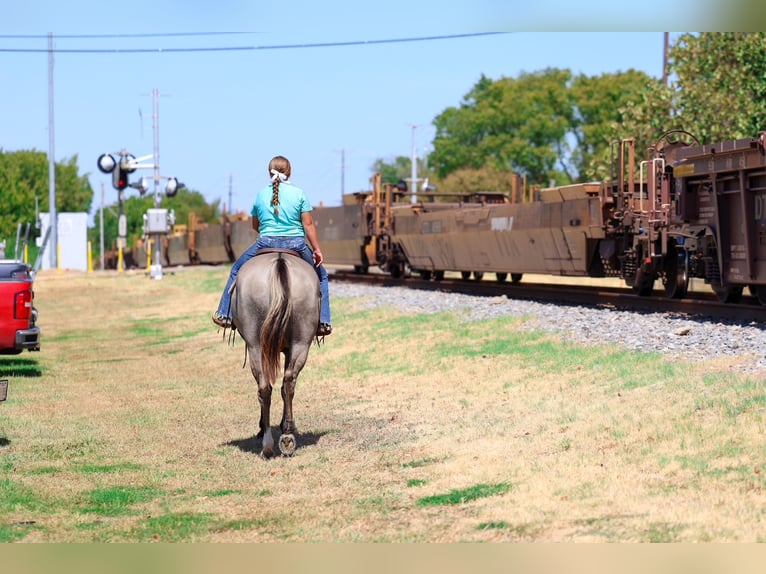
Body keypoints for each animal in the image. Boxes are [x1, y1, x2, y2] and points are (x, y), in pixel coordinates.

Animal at [230, 250, 321, 458]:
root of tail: (280, 261)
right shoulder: (288, 349)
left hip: (256, 345)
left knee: (264, 387)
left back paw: (267, 443)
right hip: (300, 342)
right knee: (288, 382)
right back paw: (287, 437)